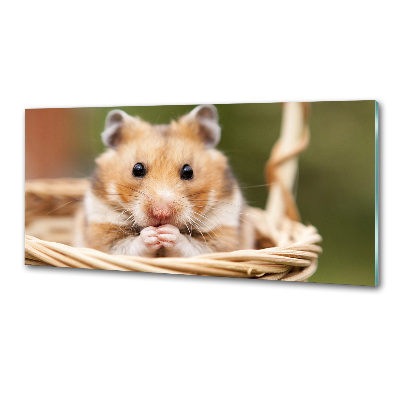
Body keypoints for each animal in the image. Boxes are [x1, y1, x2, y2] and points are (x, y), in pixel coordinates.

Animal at [76, 104, 255, 256]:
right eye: (137, 169)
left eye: (188, 171)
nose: (161, 213)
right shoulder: (101, 230)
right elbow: (127, 247)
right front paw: (152, 234)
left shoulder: (222, 235)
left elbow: (194, 247)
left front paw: (167, 233)